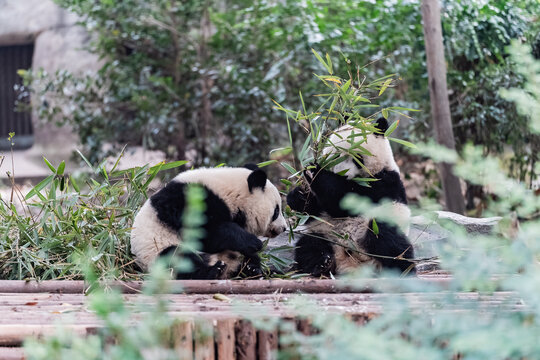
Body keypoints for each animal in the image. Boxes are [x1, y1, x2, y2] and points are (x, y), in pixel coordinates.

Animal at [130, 165, 286, 280]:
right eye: (276, 211)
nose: (284, 228)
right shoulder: (188, 201)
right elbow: (205, 233)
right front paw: (254, 242)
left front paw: (253, 262)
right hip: (154, 252)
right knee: (178, 259)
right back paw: (214, 271)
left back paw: (252, 270)